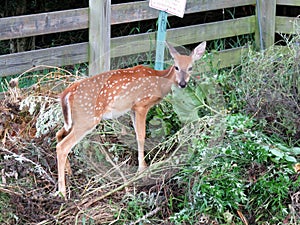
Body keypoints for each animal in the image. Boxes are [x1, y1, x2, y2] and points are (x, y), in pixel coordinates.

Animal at [55, 40, 206, 197]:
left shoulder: (132, 109)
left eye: (190, 67)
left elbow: (136, 134)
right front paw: (143, 169)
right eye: (176, 67)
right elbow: (141, 135)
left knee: (58, 134)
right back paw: (62, 192)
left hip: (75, 120)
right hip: (87, 119)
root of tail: (67, 92)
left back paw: (69, 172)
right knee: (62, 146)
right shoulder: (141, 105)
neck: (159, 83)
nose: (183, 84)